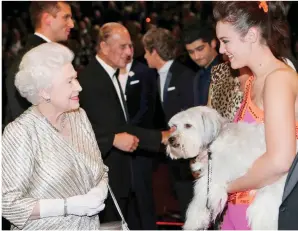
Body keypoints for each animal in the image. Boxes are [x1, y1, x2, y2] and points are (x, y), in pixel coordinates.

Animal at [166, 106, 296, 229]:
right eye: (175, 126)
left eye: (188, 125)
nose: (170, 139)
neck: (216, 137)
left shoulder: (212, 180)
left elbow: (199, 200)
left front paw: (193, 222)